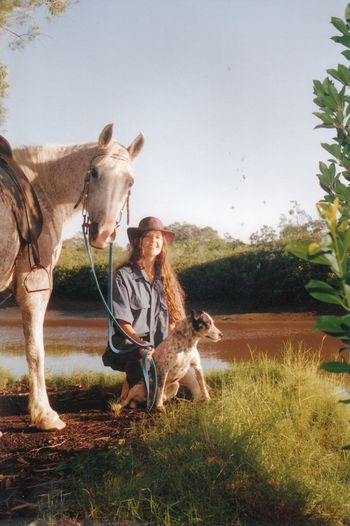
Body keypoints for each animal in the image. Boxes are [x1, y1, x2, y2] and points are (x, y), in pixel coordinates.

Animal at [0, 125, 144, 434]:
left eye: (130, 182)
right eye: (95, 173)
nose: (103, 234)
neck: (40, 190)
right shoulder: (34, 285)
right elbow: (36, 350)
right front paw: (44, 415)